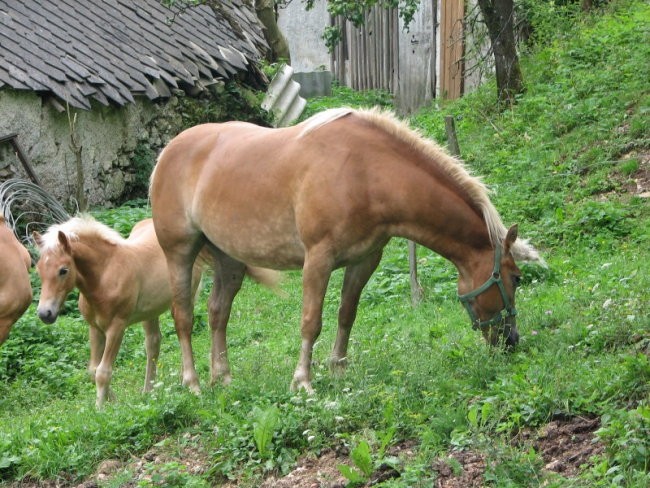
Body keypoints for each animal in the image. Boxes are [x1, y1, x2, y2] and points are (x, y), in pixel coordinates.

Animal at [33, 217, 276, 408]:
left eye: (63, 270)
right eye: (38, 269)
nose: (45, 313)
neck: (105, 275)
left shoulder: (117, 327)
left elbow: (103, 372)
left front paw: (101, 409)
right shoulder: (95, 328)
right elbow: (93, 370)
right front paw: (113, 400)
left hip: (183, 296)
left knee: (183, 330)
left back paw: (185, 380)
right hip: (149, 312)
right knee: (153, 344)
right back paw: (149, 390)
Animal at [148, 106, 540, 392]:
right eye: (517, 278)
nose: (512, 340)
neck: (365, 172)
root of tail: (167, 153)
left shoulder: (365, 260)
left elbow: (346, 314)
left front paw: (338, 369)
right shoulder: (318, 260)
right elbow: (311, 322)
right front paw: (303, 382)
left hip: (229, 259)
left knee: (218, 313)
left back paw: (223, 378)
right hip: (179, 253)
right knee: (183, 317)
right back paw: (193, 383)